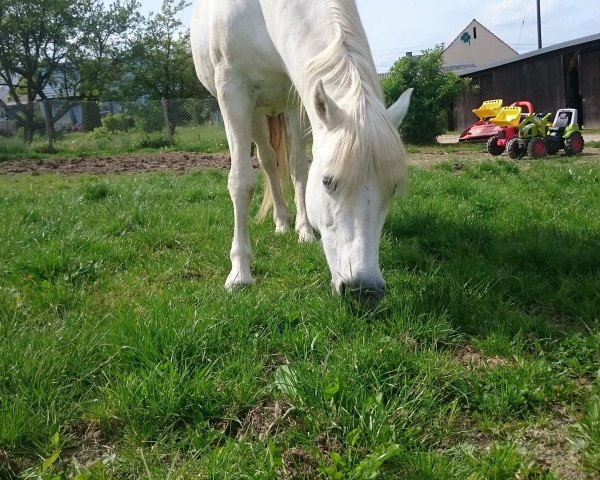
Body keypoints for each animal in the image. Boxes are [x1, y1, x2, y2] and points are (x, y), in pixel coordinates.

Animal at [192, 0, 412, 306]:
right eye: (328, 182)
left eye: (393, 189)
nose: (364, 291)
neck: (263, 13)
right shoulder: (231, 91)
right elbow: (241, 182)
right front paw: (239, 274)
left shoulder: (298, 92)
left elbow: (298, 167)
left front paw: (305, 231)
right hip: (254, 111)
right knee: (267, 162)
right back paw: (280, 222)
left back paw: (292, 225)